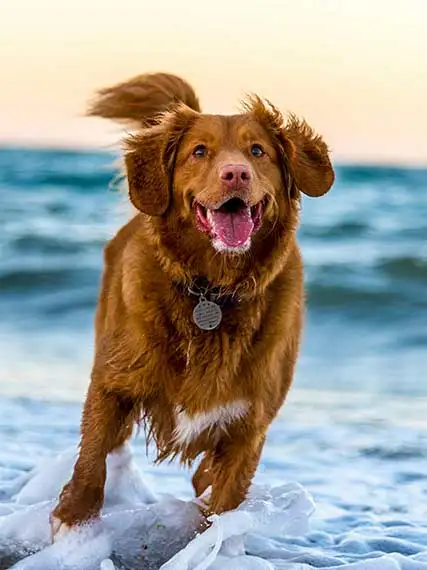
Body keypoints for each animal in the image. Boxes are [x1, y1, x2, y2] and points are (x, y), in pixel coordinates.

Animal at [50, 73, 336, 536]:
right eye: (199, 151)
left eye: (258, 151)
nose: (235, 173)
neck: (212, 290)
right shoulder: (113, 382)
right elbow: (92, 458)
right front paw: (73, 519)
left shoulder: (249, 425)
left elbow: (222, 502)